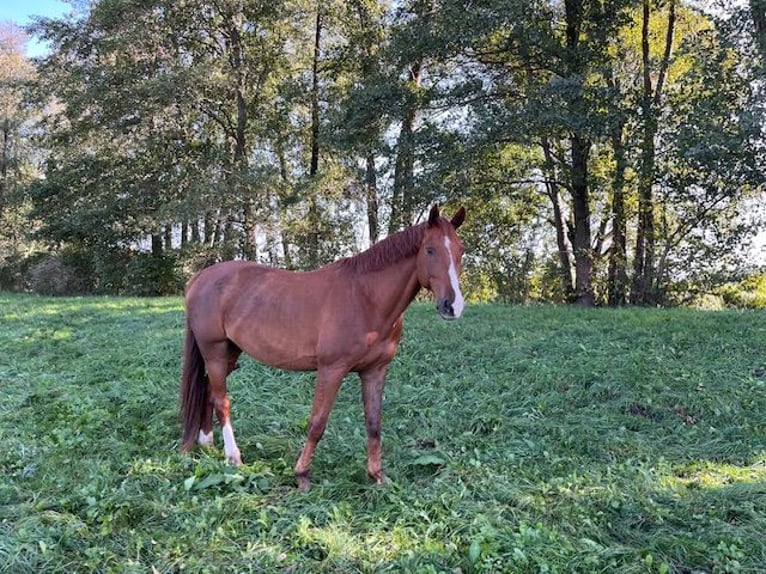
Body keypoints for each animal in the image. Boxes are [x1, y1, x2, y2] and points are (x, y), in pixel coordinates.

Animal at [181, 205, 468, 492]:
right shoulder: (332, 369)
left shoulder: (375, 370)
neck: (365, 298)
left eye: (460, 250)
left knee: (209, 390)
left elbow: (374, 422)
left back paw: (207, 443)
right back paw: (233, 457)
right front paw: (302, 475)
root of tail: (199, 278)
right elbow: (317, 423)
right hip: (215, 352)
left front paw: (377, 475)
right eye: (429, 250)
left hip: (229, 354)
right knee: (222, 401)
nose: (452, 306)